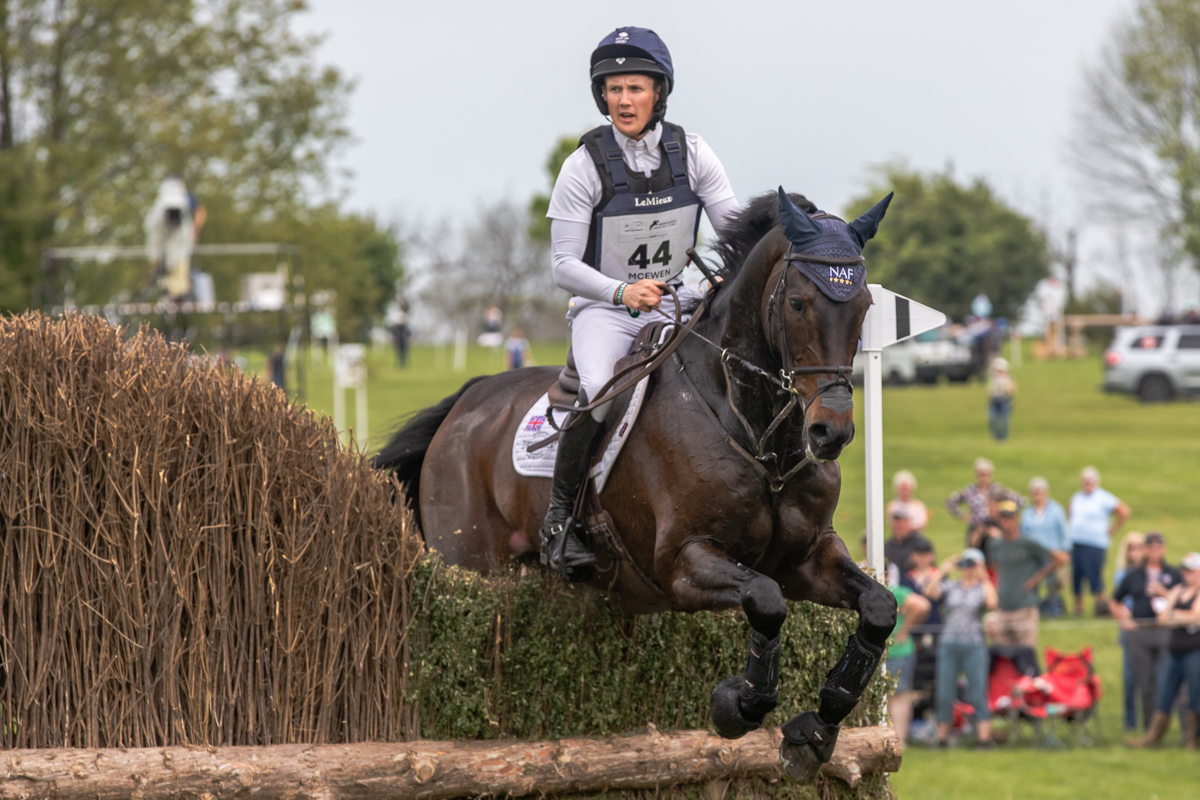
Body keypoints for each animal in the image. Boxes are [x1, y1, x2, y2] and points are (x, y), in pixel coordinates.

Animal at [379, 189, 897, 782]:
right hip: (467, 565)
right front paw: (739, 703)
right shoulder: (682, 562)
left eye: (864, 307)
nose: (831, 432)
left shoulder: (805, 558)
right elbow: (765, 601)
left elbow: (879, 607)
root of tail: (465, 402)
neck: (757, 428)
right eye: (797, 304)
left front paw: (815, 730)